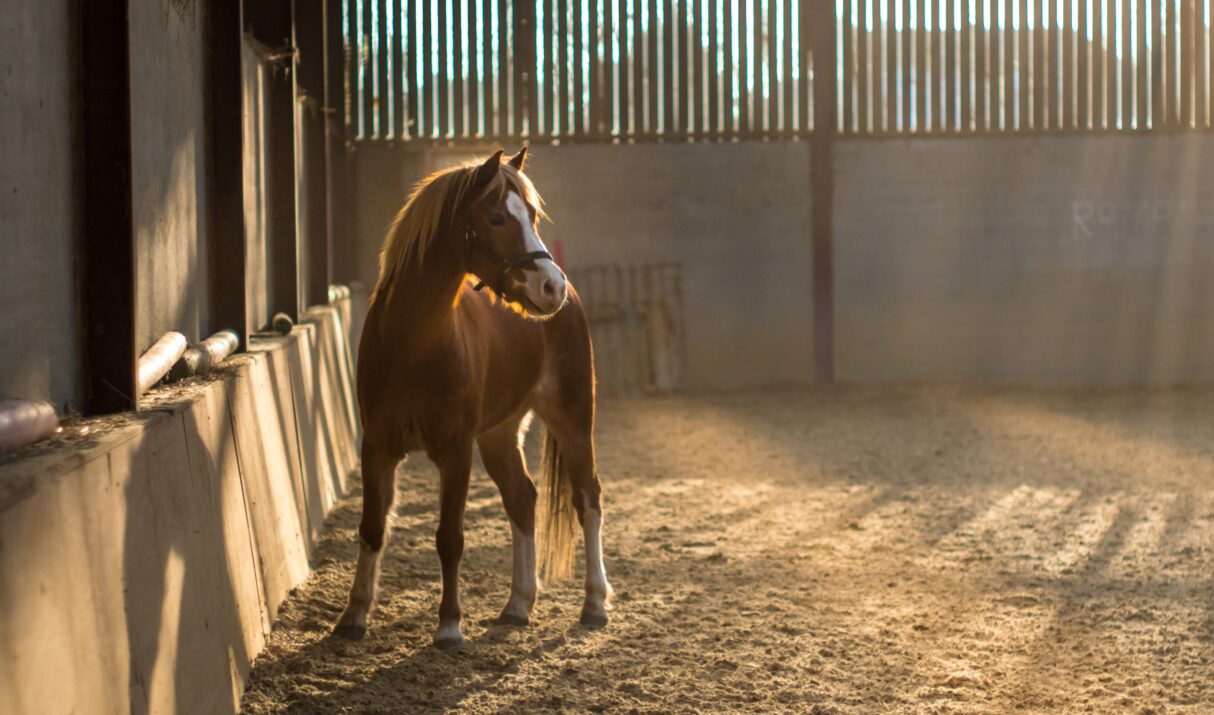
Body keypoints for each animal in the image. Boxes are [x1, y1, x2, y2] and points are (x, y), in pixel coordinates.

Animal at [334, 148, 611, 649]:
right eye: (497, 217)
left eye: (533, 215)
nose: (551, 286)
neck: (413, 342)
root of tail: (574, 301)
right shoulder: (377, 448)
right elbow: (371, 528)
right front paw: (354, 615)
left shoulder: (455, 450)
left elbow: (450, 537)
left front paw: (448, 626)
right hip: (500, 435)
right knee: (522, 499)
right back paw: (518, 605)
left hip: (573, 420)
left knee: (588, 498)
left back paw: (595, 604)